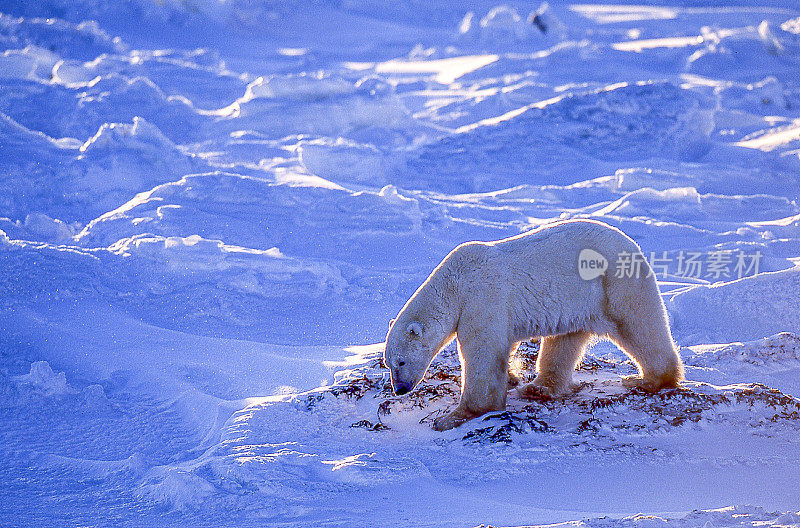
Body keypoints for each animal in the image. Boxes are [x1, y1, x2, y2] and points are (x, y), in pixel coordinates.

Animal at [384, 219, 684, 428]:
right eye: (388, 364)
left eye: (401, 361)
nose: (400, 389)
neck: (454, 285)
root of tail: (634, 245)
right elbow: (506, 344)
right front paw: (513, 377)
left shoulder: (481, 299)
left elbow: (483, 354)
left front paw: (452, 416)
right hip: (577, 299)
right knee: (564, 342)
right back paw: (538, 388)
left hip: (615, 284)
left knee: (639, 325)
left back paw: (647, 380)